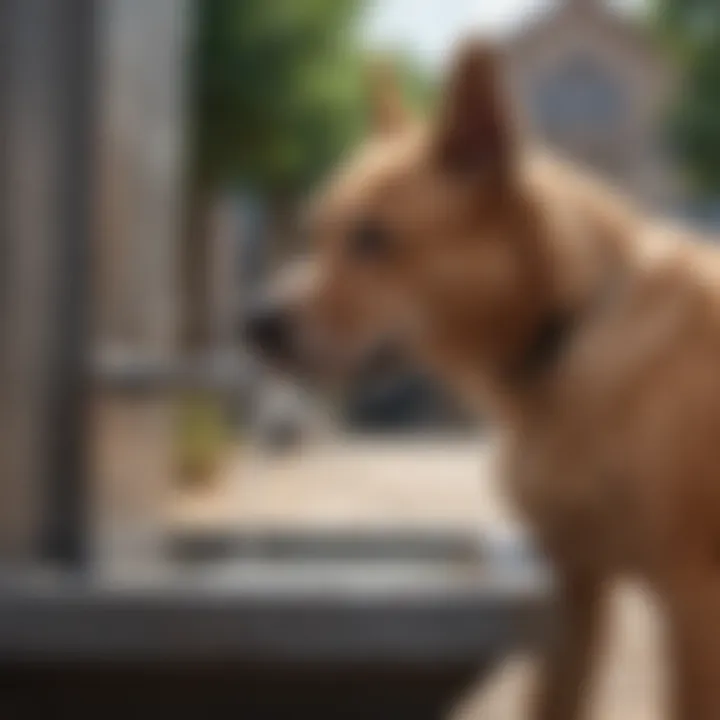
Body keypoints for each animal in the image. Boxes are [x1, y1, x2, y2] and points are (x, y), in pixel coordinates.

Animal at [246, 42, 720, 716]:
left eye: (374, 238)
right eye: (316, 233)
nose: (254, 324)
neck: (568, 335)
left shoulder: (693, 601)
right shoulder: (571, 589)